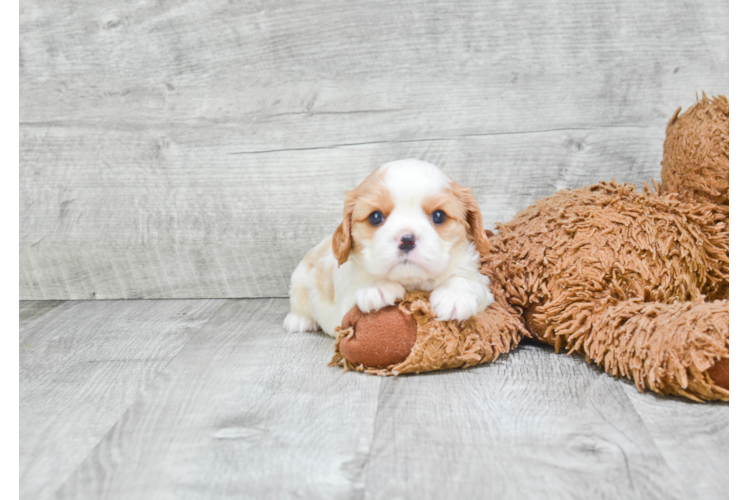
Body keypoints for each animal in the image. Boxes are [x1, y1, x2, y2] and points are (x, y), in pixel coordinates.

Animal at [284, 158, 494, 336]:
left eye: (439, 216)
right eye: (375, 217)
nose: (407, 240)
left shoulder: (482, 284)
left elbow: (465, 280)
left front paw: (455, 296)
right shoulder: (343, 307)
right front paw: (377, 287)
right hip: (299, 281)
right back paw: (299, 320)